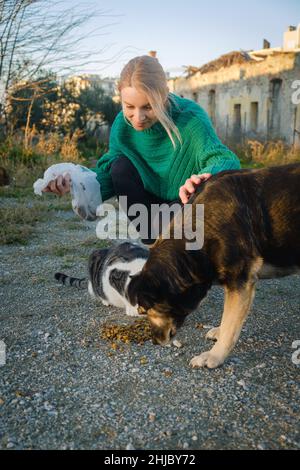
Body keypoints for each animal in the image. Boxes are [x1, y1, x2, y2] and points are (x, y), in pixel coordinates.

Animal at [127, 163, 300, 370]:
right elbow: (228, 319)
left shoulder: (240, 281)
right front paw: (219, 332)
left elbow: (230, 324)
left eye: (146, 311)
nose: (154, 342)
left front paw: (214, 355)